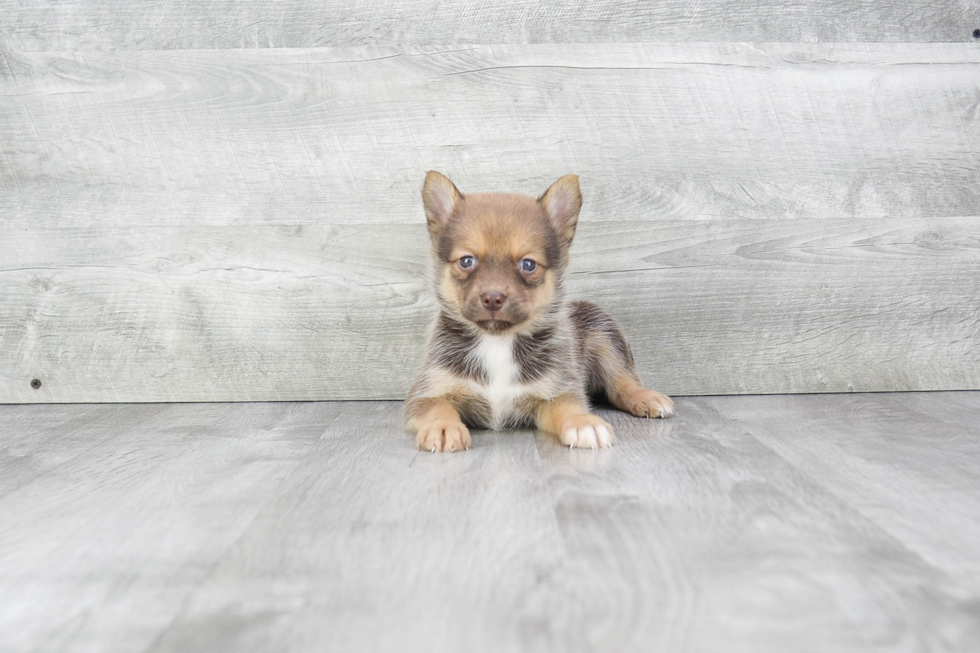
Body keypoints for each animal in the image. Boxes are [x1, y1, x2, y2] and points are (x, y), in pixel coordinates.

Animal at [402, 171, 668, 450]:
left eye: (528, 264)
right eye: (466, 261)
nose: (492, 298)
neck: (497, 342)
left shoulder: (556, 391)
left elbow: (568, 408)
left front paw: (583, 422)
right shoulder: (427, 392)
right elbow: (438, 408)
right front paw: (442, 427)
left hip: (604, 332)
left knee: (621, 382)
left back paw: (646, 398)